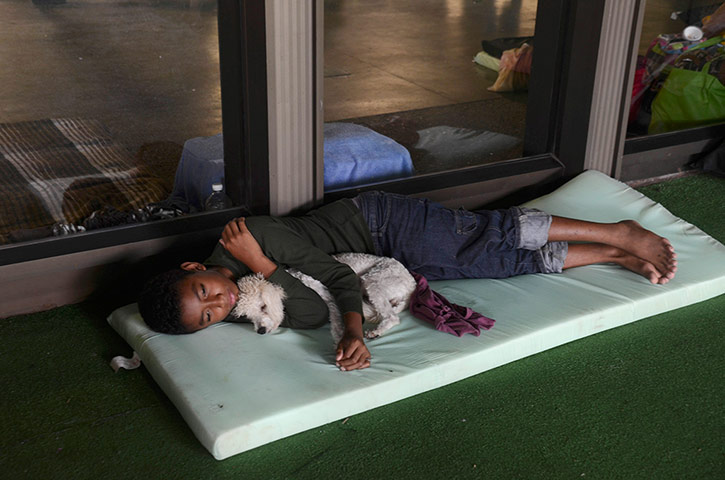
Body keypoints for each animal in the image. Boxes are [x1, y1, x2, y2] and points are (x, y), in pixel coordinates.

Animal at [232, 253, 412, 344]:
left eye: (263, 306)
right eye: (248, 316)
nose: (260, 331)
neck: (294, 277)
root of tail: (412, 284)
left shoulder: (328, 296)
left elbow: (336, 322)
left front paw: (341, 341)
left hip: (373, 280)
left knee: (393, 317)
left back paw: (376, 331)